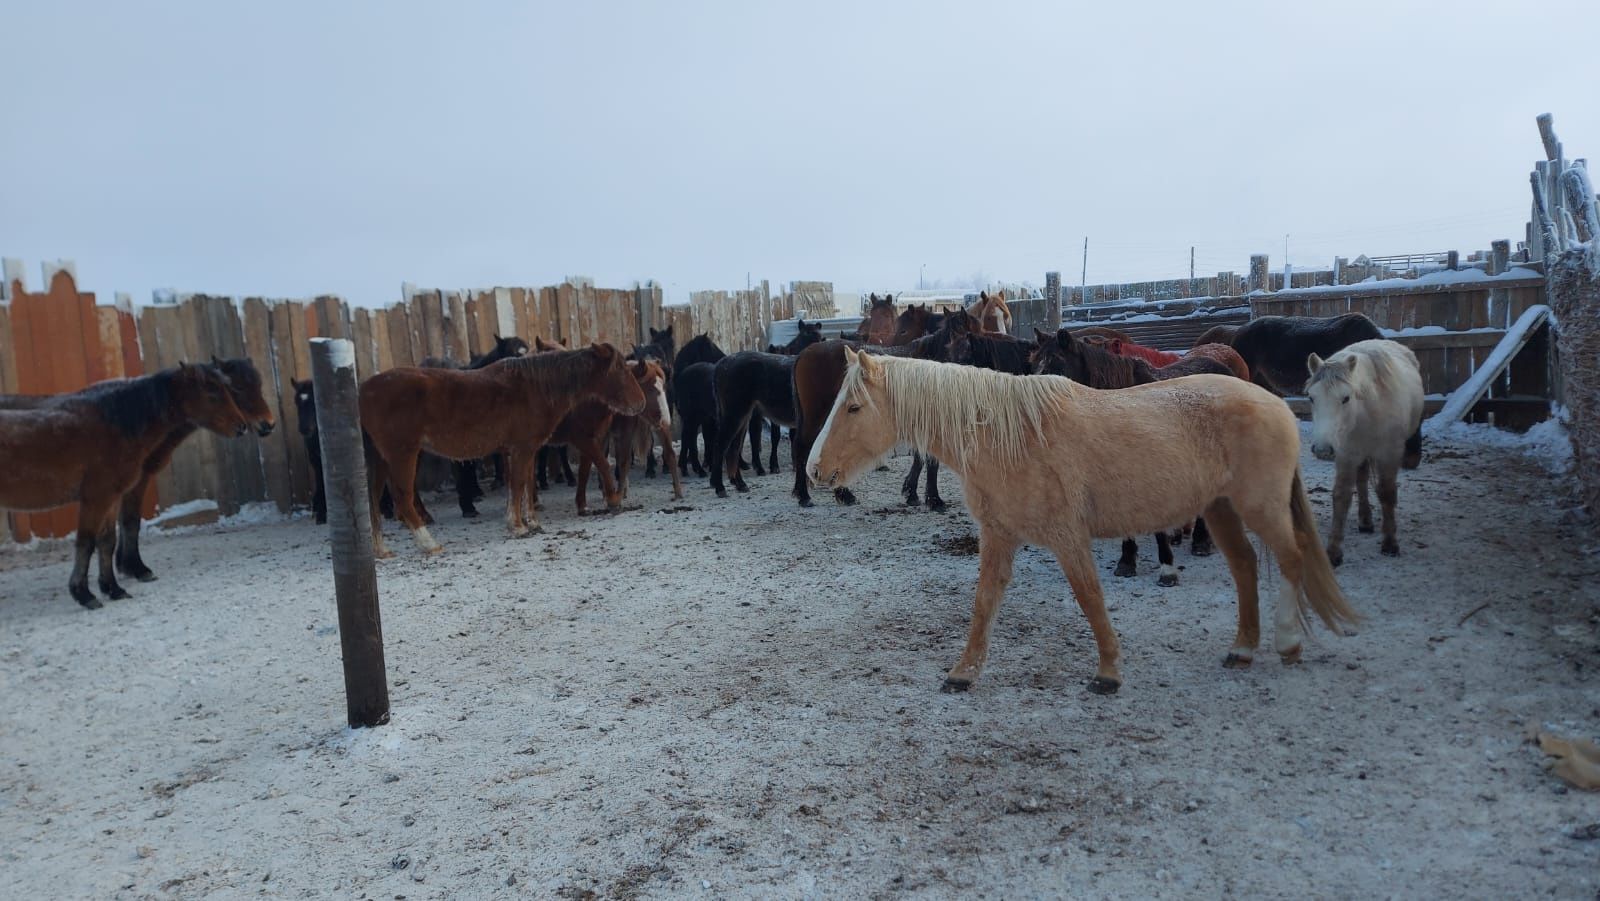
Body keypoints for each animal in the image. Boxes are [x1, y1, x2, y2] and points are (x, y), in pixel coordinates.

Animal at [0, 363, 251, 611]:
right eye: (212, 395)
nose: (242, 427)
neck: (114, 427)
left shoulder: (111, 497)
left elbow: (107, 541)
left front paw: (113, 588)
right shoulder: (96, 498)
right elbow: (86, 543)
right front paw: (84, 594)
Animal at [361, 345, 643, 556]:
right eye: (619, 368)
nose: (640, 403)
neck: (536, 387)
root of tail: (364, 389)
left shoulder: (526, 449)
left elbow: (525, 485)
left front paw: (531, 521)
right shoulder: (522, 448)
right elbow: (518, 484)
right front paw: (517, 526)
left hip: (380, 458)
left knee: (373, 499)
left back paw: (381, 550)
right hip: (403, 454)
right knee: (402, 498)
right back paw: (428, 543)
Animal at [806, 348, 1356, 694]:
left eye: (853, 407)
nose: (815, 470)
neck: (1009, 436)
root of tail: (1276, 404)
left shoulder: (1068, 537)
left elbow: (1089, 597)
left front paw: (1108, 673)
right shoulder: (999, 535)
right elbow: (984, 605)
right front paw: (963, 673)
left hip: (1260, 507)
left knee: (1290, 559)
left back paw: (1286, 642)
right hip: (1220, 509)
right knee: (1245, 567)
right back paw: (1242, 649)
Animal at [1312, 339, 1427, 563]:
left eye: (1346, 398)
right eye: (1312, 398)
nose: (1322, 449)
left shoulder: (1389, 454)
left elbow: (1387, 493)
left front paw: (1390, 543)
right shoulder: (1346, 455)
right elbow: (1341, 496)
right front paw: (1333, 551)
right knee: (1362, 480)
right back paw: (1365, 521)